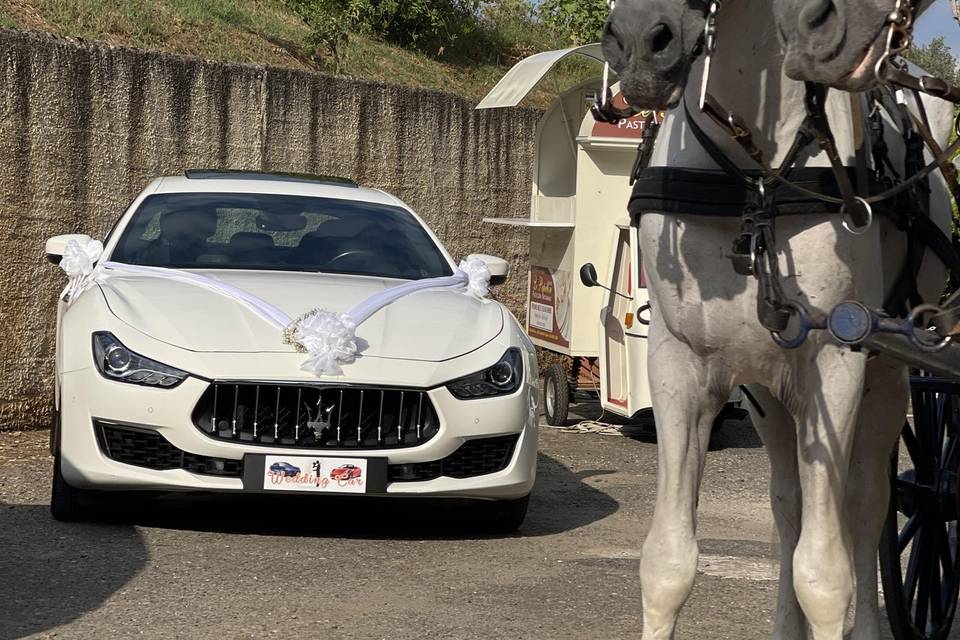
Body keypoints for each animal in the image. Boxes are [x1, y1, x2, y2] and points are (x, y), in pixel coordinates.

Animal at [604, 1, 948, 640]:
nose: (639, 41)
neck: (754, 178)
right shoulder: (677, 365)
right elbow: (667, 562)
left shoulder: (836, 366)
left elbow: (826, 575)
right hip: (769, 395)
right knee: (790, 505)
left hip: (886, 380)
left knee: (866, 504)